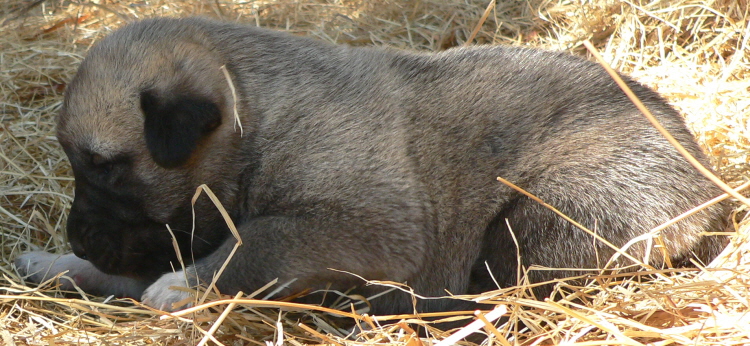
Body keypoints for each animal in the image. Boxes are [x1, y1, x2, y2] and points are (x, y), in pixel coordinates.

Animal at [14, 16, 728, 314]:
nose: (79, 237)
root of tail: (715, 195)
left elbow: (261, 240)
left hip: (543, 212)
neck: (261, 118)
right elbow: (132, 268)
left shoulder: (361, 224)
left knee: (508, 289)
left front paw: (188, 285)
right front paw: (57, 263)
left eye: (106, 167)